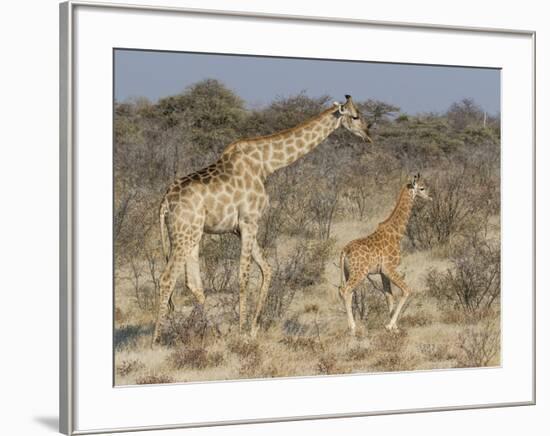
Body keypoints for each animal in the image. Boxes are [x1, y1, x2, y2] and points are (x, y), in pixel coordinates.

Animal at [153, 93, 374, 342]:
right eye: (355, 116)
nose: (368, 132)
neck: (266, 164)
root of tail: (165, 202)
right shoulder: (249, 221)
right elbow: (243, 275)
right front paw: (242, 330)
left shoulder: (239, 228)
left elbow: (267, 269)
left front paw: (253, 328)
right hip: (184, 233)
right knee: (167, 278)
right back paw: (156, 339)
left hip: (192, 234)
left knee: (193, 283)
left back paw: (211, 332)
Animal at [338, 173, 434, 334]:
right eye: (422, 188)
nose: (431, 197)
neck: (397, 233)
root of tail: (345, 250)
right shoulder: (389, 268)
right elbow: (406, 290)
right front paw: (390, 325)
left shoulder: (382, 272)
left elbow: (389, 296)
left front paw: (393, 328)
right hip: (359, 272)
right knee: (345, 290)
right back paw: (353, 327)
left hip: (347, 272)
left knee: (346, 291)